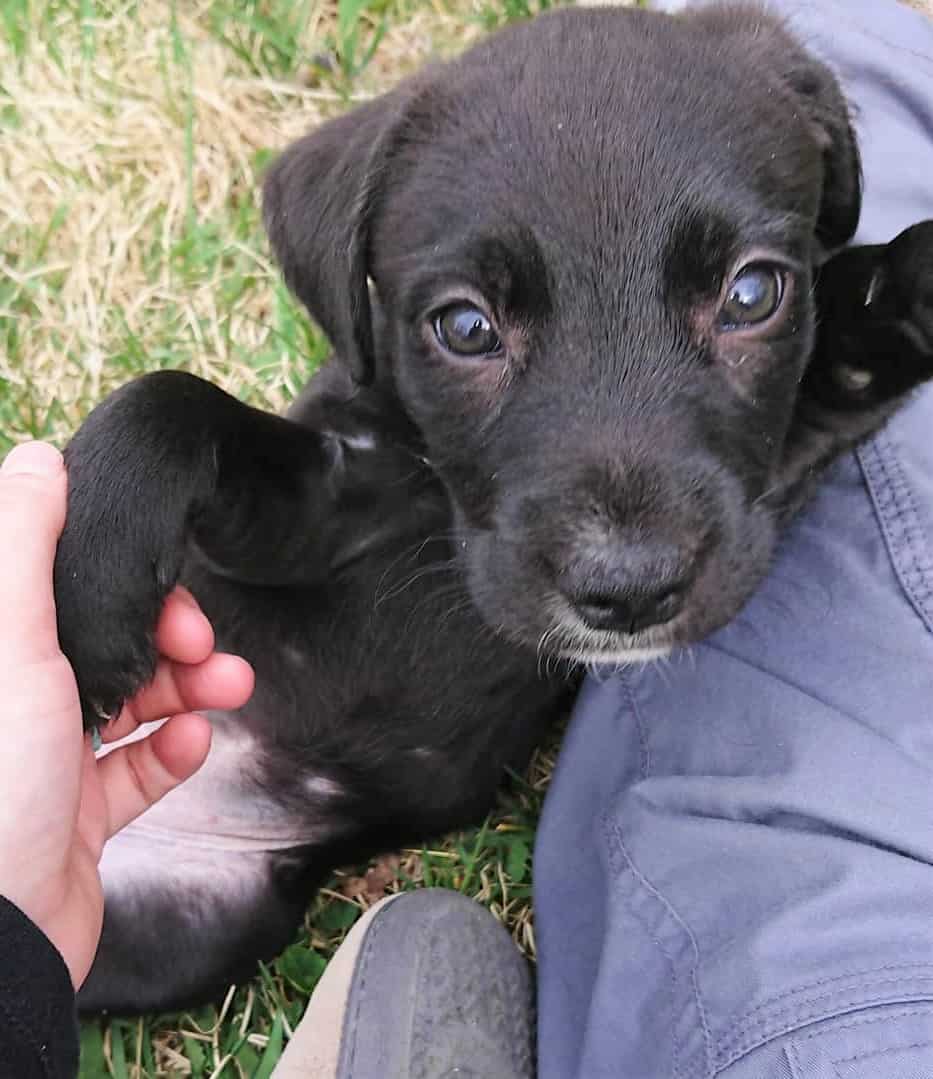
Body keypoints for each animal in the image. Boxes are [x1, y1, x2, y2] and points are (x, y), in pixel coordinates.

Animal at [54, 2, 931, 1009]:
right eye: (465, 326)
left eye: (750, 294)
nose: (628, 592)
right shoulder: (303, 512)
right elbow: (170, 399)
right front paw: (80, 602)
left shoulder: (776, 458)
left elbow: (843, 362)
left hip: (187, 925)